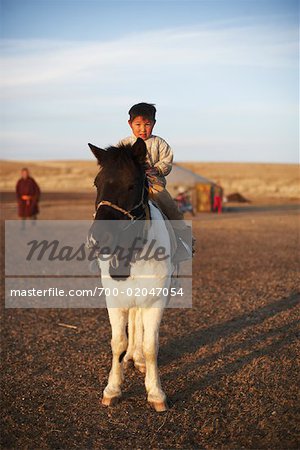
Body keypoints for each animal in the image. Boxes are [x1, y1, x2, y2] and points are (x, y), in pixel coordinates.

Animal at [88, 137, 172, 412]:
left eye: (131, 184)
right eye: (97, 183)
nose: (98, 239)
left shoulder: (155, 300)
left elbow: (150, 345)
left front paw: (155, 392)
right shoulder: (114, 299)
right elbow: (118, 343)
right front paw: (112, 389)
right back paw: (130, 358)